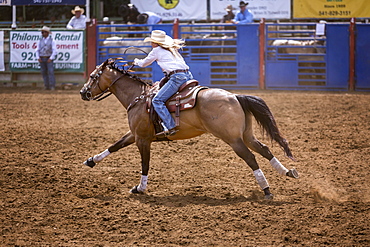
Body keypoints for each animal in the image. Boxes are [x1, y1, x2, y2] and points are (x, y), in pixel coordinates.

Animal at [79, 57, 298, 199]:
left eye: (93, 76)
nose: (83, 92)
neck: (138, 97)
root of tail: (235, 96)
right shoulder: (135, 134)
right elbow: (115, 145)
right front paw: (90, 161)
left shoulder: (142, 139)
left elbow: (145, 164)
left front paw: (139, 189)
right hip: (246, 135)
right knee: (264, 149)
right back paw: (288, 172)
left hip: (233, 140)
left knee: (251, 158)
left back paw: (267, 190)